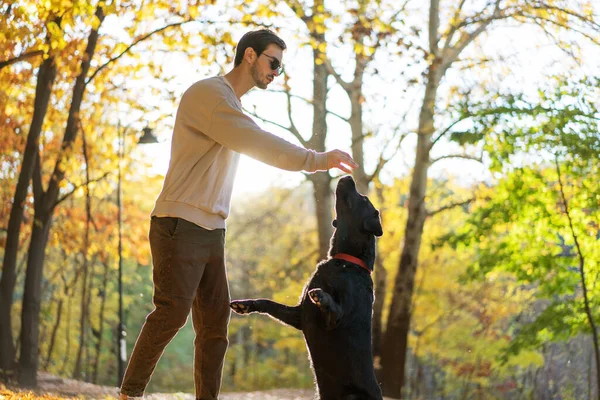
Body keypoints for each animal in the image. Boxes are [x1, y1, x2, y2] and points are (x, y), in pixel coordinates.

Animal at [230, 177, 384, 398]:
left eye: (363, 198)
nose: (348, 177)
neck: (344, 262)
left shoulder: (336, 319)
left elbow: (333, 307)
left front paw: (321, 295)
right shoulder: (298, 315)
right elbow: (267, 303)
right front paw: (246, 304)